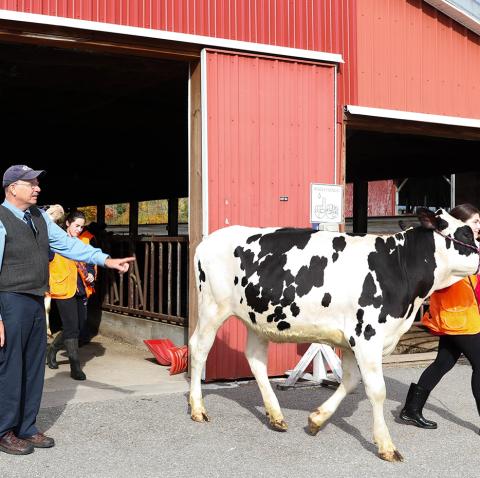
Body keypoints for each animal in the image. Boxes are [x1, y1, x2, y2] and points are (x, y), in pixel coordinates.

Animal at [188, 208, 480, 460]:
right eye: (467, 234)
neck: (399, 267)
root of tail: (209, 239)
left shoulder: (352, 341)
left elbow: (350, 382)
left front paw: (316, 420)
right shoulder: (368, 337)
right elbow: (377, 390)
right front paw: (386, 446)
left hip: (257, 318)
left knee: (255, 359)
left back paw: (276, 415)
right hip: (212, 308)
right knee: (199, 348)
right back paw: (198, 409)